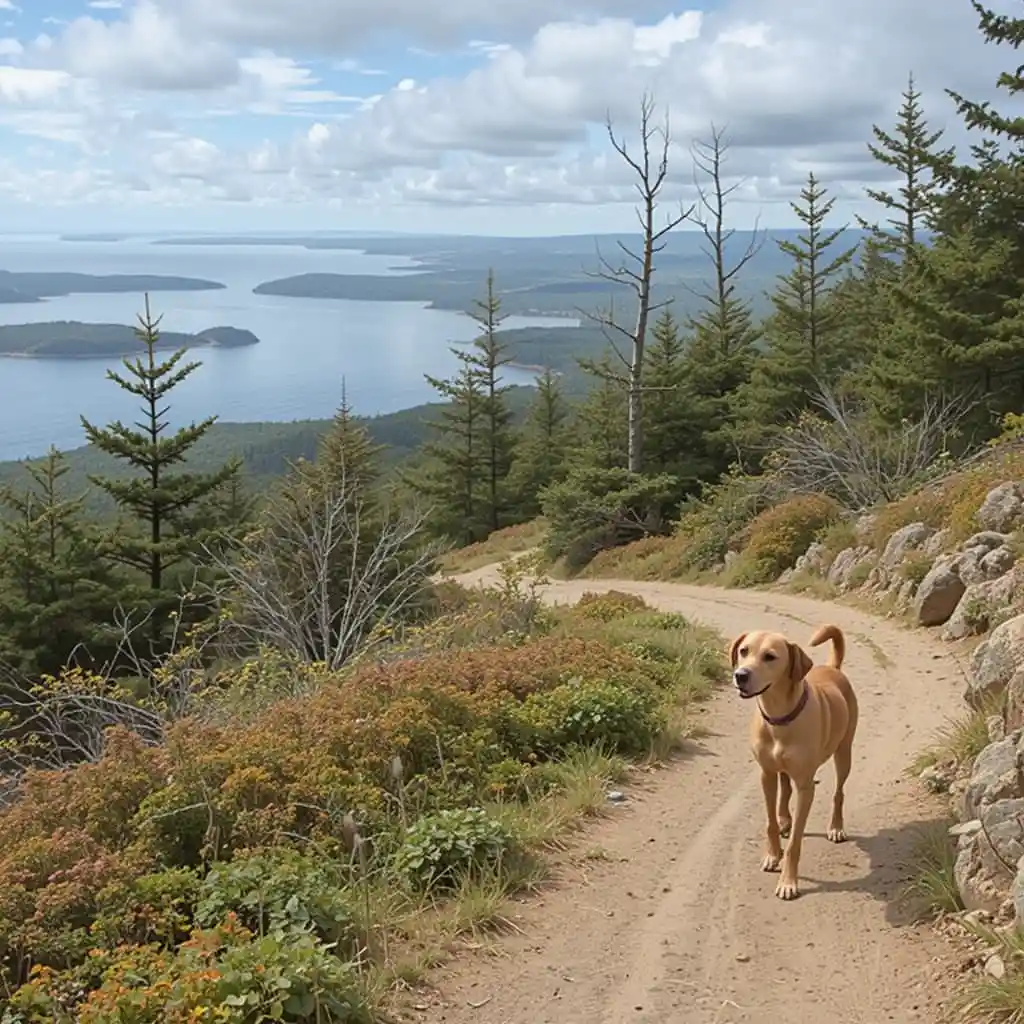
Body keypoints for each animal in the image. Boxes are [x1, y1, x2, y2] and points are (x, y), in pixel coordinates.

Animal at [729, 626, 856, 901]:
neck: (779, 717)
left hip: (844, 753)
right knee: (785, 786)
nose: (740, 675)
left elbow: (795, 843)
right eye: (743, 651)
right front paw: (772, 854)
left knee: (839, 792)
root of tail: (833, 667)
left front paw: (788, 882)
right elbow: (770, 823)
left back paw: (835, 827)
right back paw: (786, 819)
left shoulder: (806, 787)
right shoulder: (766, 775)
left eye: (770, 656)